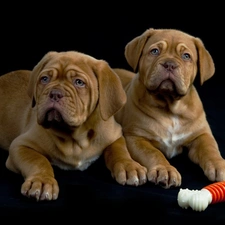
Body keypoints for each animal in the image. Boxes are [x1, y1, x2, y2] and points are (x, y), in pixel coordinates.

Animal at [0, 50, 147, 200]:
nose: (55, 93)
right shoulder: (20, 145)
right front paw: (41, 180)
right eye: (45, 79)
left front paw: (129, 166)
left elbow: (119, 150)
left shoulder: (115, 135)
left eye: (79, 82)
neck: (76, 136)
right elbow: (38, 160)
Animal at [114, 28, 225, 190]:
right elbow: (153, 153)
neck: (170, 108)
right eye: (155, 51)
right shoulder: (135, 137)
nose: (170, 64)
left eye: (186, 56)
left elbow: (210, 148)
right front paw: (165, 170)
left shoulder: (201, 135)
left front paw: (219, 164)